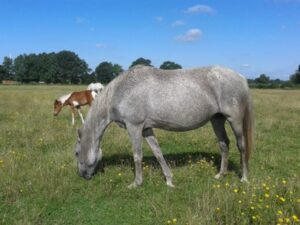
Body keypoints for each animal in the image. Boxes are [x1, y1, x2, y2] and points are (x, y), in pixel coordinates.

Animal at [74, 65, 253, 188]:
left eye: (76, 153)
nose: (82, 175)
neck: (121, 91)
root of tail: (241, 77)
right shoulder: (146, 129)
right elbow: (158, 152)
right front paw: (169, 180)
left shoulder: (134, 127)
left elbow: (137, 156)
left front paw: (136, 183)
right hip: (217, 120)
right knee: (224, 144)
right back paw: (220, 175)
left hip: (234, 121)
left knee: (241, 145)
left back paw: (244, 178)